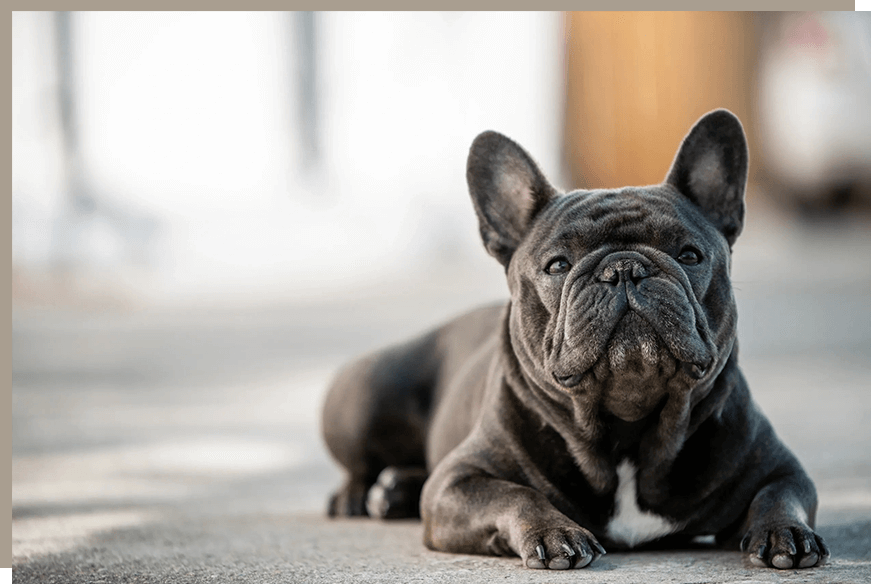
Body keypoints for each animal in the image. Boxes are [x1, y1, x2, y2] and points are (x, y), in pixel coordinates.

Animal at [322, 109, 832, 572]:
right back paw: (359, 496)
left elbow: (779, 496)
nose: (624, 267)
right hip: (365, 395)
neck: (628, 431)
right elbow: (516, 494)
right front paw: (555, 532)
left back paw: (395, 490)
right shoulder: (456, 483)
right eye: (558, 265)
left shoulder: (779, 468)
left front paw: (787, 532)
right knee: (361, 464)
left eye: (689, 255)